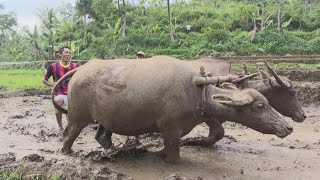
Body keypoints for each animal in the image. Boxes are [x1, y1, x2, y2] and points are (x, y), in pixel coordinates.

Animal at [53, 56, 294, 162]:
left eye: (267, 102)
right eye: (260, 106)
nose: (289, 127)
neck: (197, 92)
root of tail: (80, 70)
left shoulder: (172, 132)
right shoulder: (171, 129)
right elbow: (175, 155)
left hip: (105, 119)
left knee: (102, 136)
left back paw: (112, 151)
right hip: (77, 117)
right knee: (68, 134)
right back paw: (66, 152)